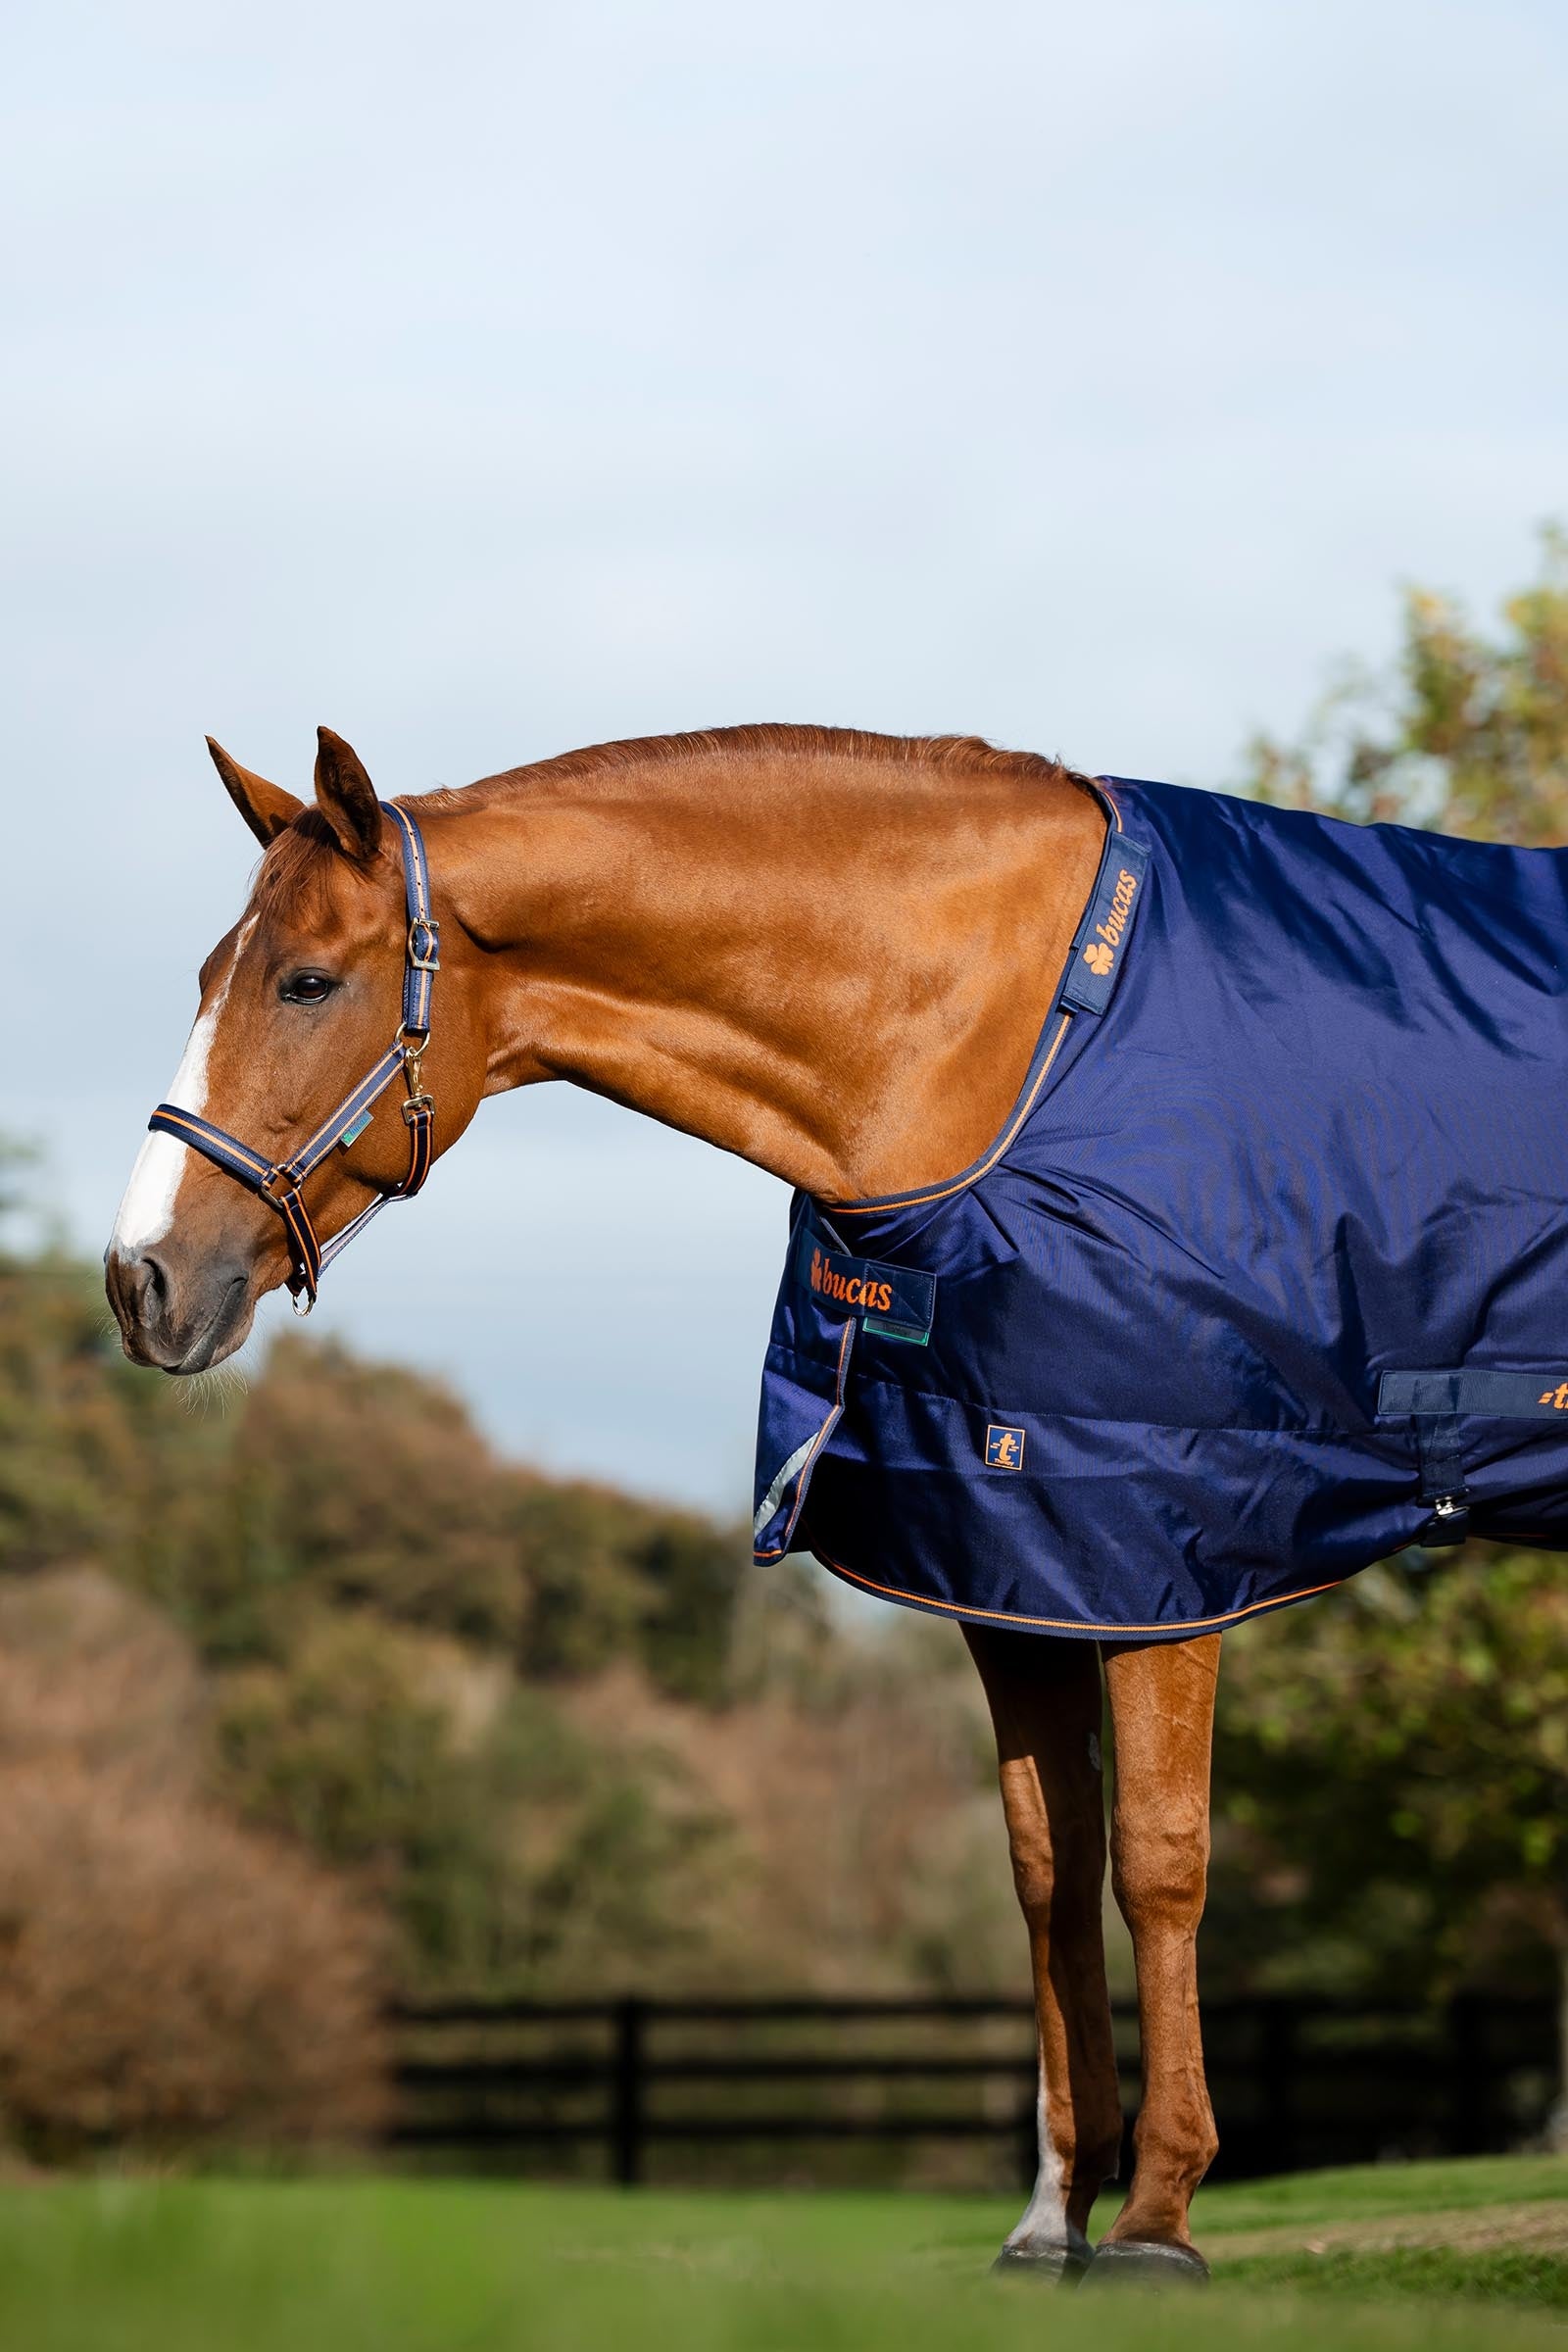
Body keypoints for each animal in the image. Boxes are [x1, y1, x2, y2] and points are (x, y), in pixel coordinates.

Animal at [107, 718, 1275, 2285]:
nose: (139, 1280)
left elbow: (1155, 1858)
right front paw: (1054, 2219)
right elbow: (1048, 1868)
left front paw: (1157, 2219)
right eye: (202, 978)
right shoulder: (1007, 1556)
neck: (1025, 1029)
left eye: (305, 981)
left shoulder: (1162, 1545)